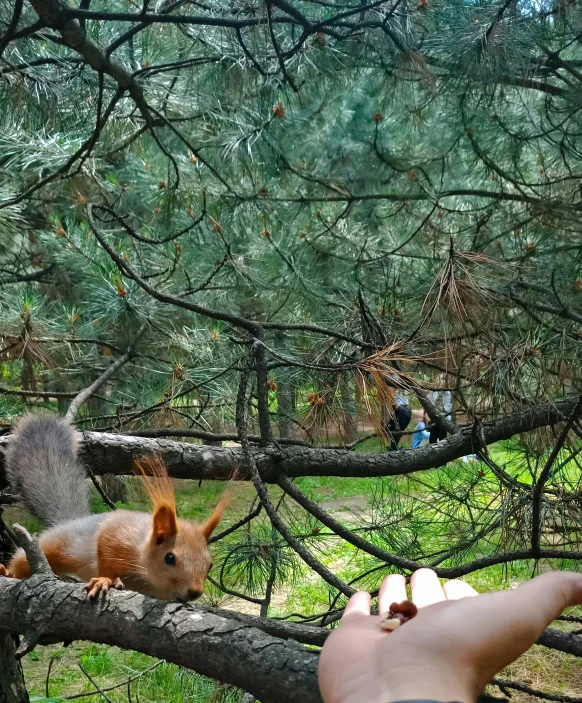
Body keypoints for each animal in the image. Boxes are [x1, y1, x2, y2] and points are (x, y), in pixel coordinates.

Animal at [0, 416, 233, 604]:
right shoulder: (116, 533)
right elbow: (105, 559)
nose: (195, 592)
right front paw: (105, 580)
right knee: (21, 561)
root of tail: (72, 520)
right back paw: (8, 571)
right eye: (169, 558)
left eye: (210, 564)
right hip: (54, 545)